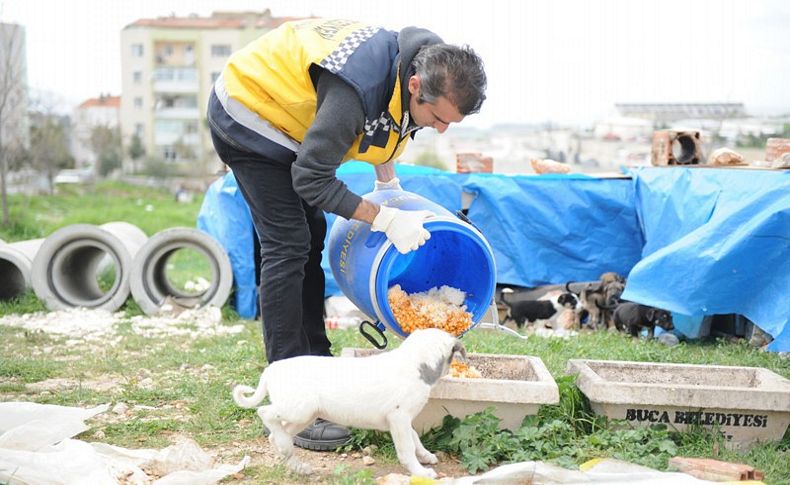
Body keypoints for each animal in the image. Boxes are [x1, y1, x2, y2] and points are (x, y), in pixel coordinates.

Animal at [232, 328, 468, 474]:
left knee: (276, 435)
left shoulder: (402, 420)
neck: (414, 362)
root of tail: (271, 369)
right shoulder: (399, 417)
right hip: (298, 410)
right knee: (264, 412)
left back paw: (294, 459)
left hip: (304, 417)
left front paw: (426, 456)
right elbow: (407, 448)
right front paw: (420, 471)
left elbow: (415, 437)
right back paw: (285, 446)